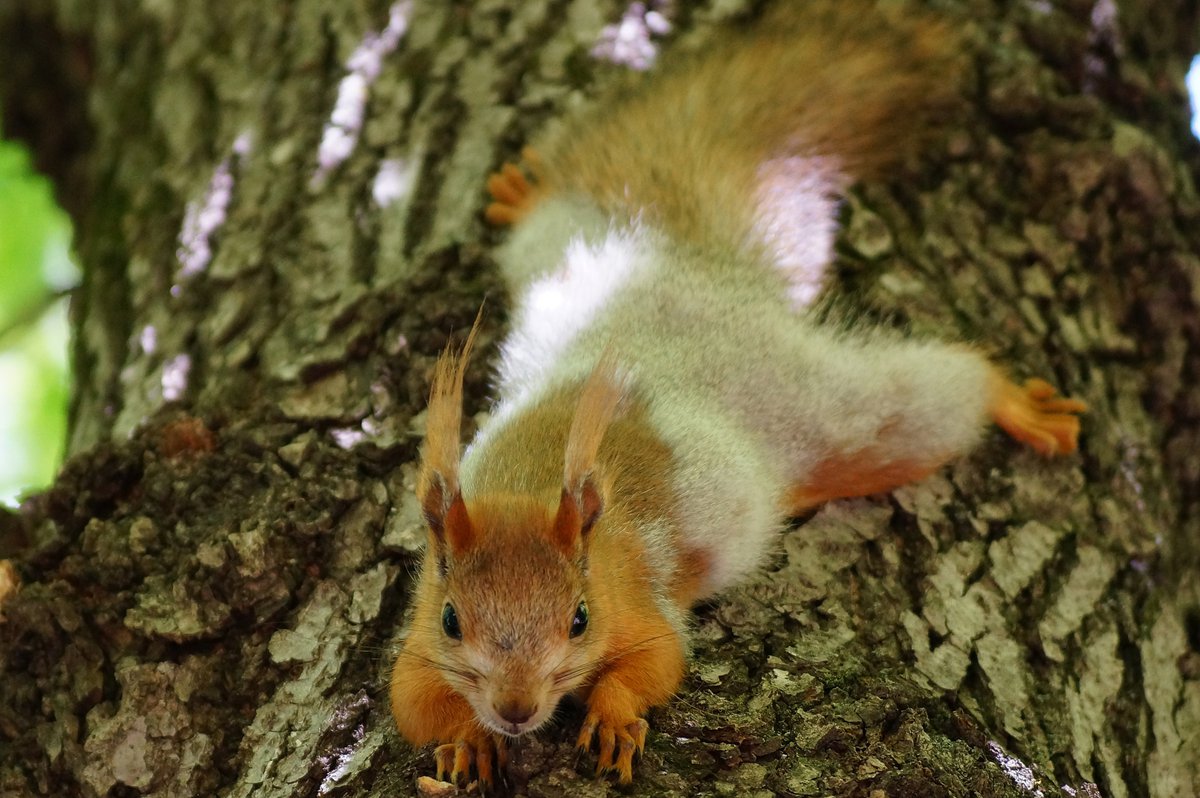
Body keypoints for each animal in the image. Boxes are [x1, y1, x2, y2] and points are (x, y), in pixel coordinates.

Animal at [388, 0, 1084, 782]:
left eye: (579, 618)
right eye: (453, 619)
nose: (515, 709)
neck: (531, 492)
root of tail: (698, 274)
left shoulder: (640, 604)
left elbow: (657, 663)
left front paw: (614, 717)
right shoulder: (416, 641)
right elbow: (412, 701)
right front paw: (466, 738)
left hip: (844, 415)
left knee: (934, 398)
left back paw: (1014, 403)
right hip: (564, 250)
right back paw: (525, 192)